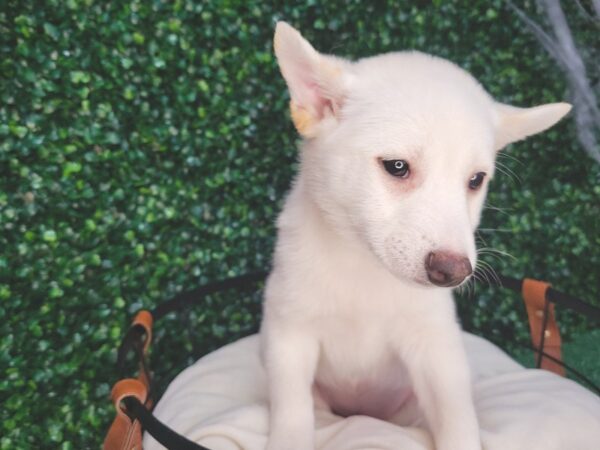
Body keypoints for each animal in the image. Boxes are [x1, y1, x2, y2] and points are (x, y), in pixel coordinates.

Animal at [260, 22, 568, 450]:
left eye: (476, 180)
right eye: (397, 166)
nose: (452, 272)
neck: (363, 267)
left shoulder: (436, 351)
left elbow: (459, 422)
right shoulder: (289, 336)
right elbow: (292, 413)